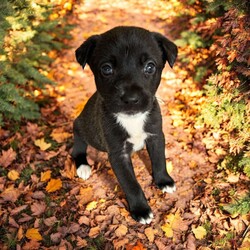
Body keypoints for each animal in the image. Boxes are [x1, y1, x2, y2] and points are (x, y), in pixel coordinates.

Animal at [72, 26, 178, 224]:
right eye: (106, 69)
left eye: (150, 66)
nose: (131, 99)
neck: (131, 119)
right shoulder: (118, 154)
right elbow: (131, 184)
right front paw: (141, 209)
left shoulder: (156, 136)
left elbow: (159, 160)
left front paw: (163, 180)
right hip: (80, 128)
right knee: (77, 149)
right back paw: (83, 166)